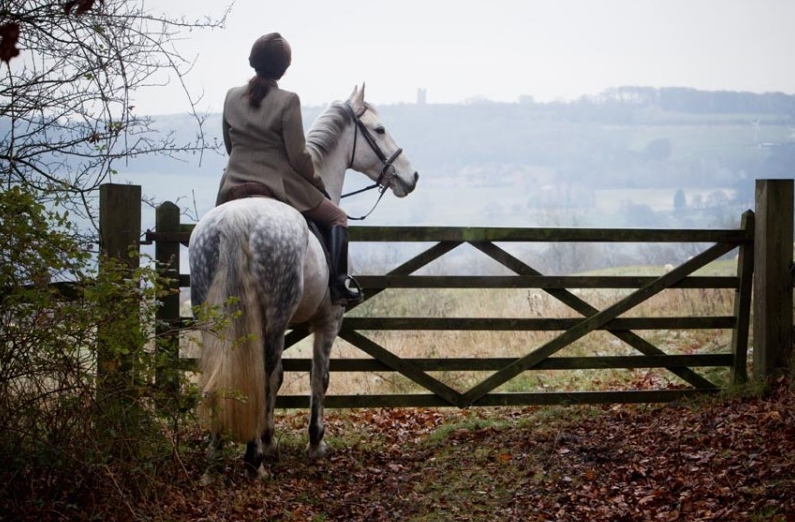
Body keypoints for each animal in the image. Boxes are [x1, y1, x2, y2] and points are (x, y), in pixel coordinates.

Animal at [189, 83, 420, 478]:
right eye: (379, 130)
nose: (411, 176)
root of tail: (236, 221)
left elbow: (280, 378)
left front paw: (270, 439)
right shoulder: (328, 320)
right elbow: (317, 377)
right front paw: (314, 442)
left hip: (214, 317)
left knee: (220, 370)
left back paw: (214, 455)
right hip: (274, 316)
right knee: (261, 369)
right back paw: (253, 460)